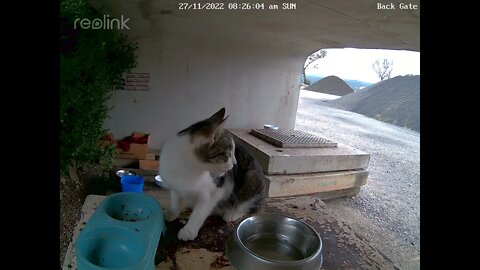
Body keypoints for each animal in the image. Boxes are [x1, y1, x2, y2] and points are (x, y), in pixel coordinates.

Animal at [160, 107, 266, 240]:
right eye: (228, 154)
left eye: (233, 153)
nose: (234, 164)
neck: (188, 170)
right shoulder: (174, 186)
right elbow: (175, 201)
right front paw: (171, 214)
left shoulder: (214, 191)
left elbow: (200, 212)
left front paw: (189, 230)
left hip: (251, 179)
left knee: (250, 205)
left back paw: (232, 213)